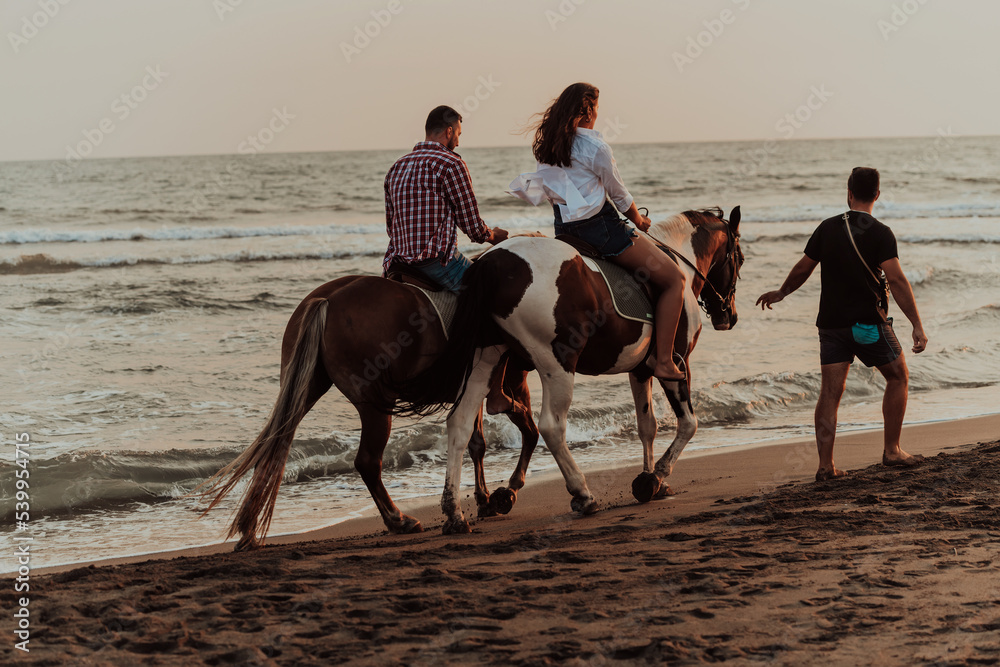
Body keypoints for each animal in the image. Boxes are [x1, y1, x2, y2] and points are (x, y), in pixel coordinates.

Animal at [199, 275, 539, 551]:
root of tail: (328, 301)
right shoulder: (502, 382)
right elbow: (524, 430)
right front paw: (506, 492)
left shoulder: (472, 390)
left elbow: (476, 444)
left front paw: (485, 499)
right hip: (374, 404)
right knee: (367, 462)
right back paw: (398, 520)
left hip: (302, 388)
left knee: (271, 450)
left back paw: (248, 531)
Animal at [393, 207, 743, 533]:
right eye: (738, 258)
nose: (730, 316)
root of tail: (493, 262)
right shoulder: (675, 363)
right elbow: (688, 424)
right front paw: (654, 477)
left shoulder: (640, 371)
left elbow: (647, 426)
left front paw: (652, 479)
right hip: (557, 365)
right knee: (551, 427)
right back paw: (582, 494)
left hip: (485, 360)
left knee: (461, 424)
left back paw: (454, 511)